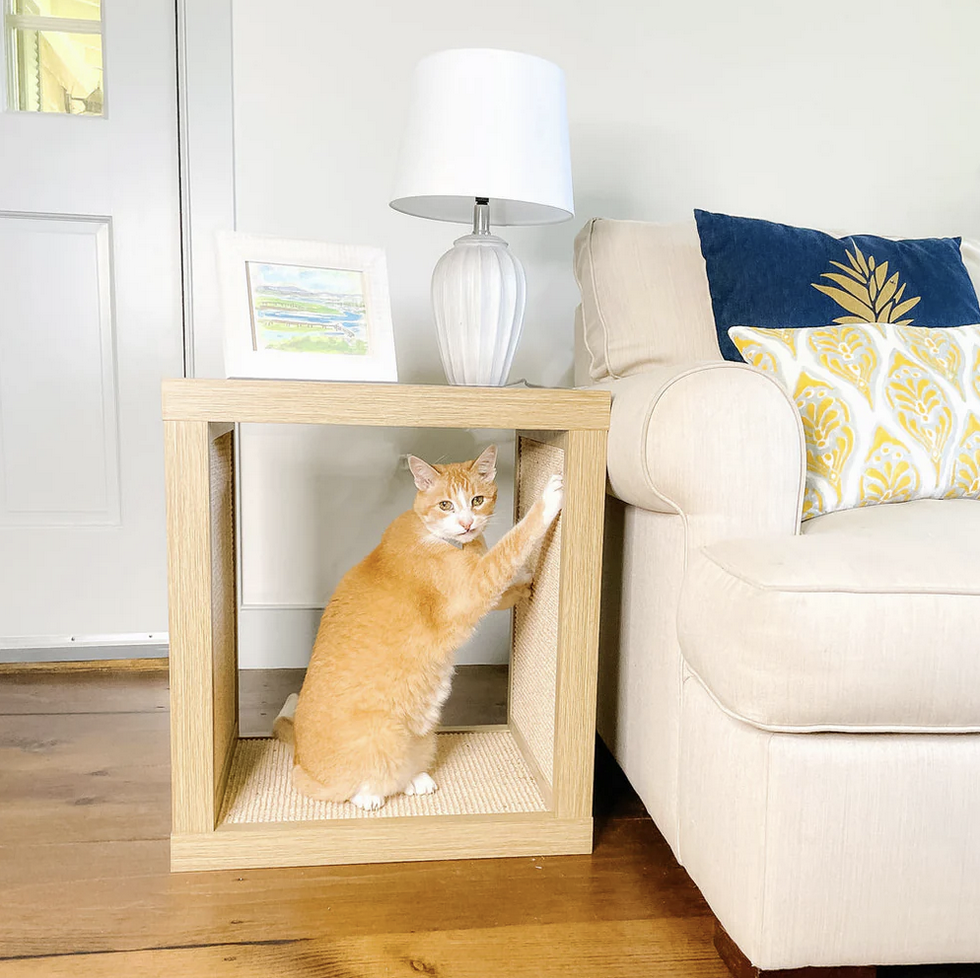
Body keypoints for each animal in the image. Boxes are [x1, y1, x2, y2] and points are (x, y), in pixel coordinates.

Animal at [276, 444, 564, 808]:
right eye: (445, 505)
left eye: (477, 500)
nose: (467, 523)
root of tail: (298, 758)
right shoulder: (473, 586)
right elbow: (510, 546)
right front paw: (549, 499)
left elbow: (499, 571)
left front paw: (523, 582)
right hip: (382, 736)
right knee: (357, 785)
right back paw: (369, 796)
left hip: (424, 735)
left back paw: (416, 780)